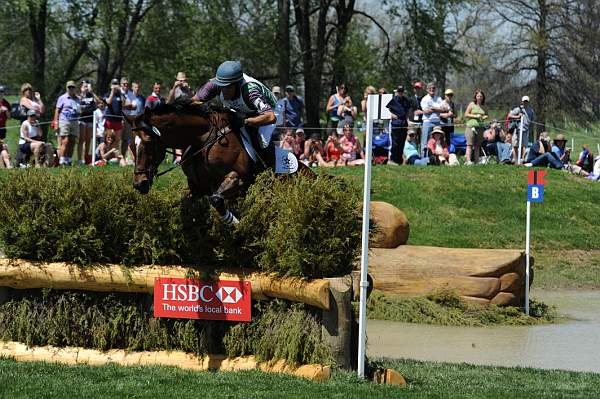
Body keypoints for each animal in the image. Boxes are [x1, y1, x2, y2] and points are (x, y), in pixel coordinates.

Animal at [131, 98, 288, 225]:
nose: (139, 184)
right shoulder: (198, 186)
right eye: (132, 145)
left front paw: (235, 222)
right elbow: (186, 201)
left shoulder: (239, 178)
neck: (201, 140)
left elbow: (216, 199)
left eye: (148, 142)